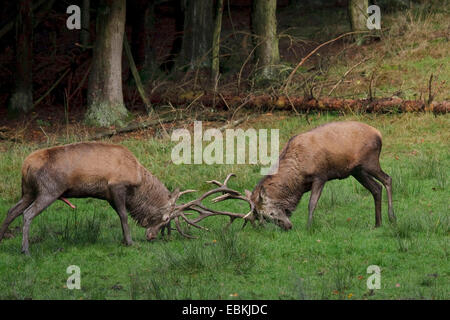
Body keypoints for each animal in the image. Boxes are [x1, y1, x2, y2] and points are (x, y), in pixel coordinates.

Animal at [0, 142, 253, 255]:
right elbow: (123, 215)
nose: (152, 236)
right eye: (164, 219)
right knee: (27, 214)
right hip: (49, 190)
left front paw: (126, 239)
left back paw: (4, 238)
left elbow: (120, 215)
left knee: (12, 210)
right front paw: (130, 241)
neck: (137, 179)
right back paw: (25, 249)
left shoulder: (109, 194)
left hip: (28, 190)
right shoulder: (117, 186)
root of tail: (26, 165)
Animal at [220, 122, 396, 230]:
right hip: (357, 171)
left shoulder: (320, 176)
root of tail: (378, 133)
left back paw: (391, 217)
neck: (298, 179)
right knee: (376, 188)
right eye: (260, 217)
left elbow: (312, 203)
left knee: (387, 179)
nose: (287, 227)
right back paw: (378, 223)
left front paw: (309, 227)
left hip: (369, 162)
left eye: (269, 214)